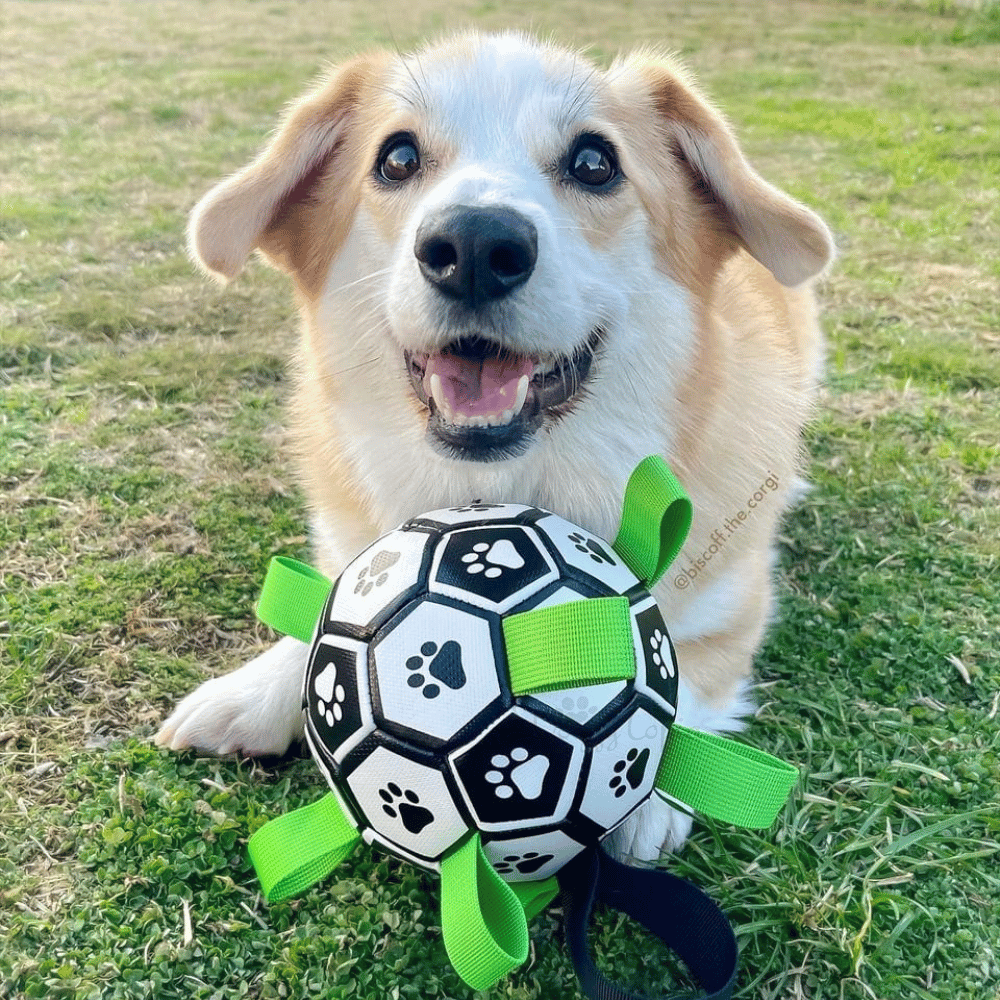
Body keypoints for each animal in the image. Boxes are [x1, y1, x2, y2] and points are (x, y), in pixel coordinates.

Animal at [152, 31, 832, 860]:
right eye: (398, 157)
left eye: (595, 162)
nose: (473, 245)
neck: (507, 488)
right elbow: (329, 614)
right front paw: (258, 690)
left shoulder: (733, 599)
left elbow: (695, 664)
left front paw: (648, 795)